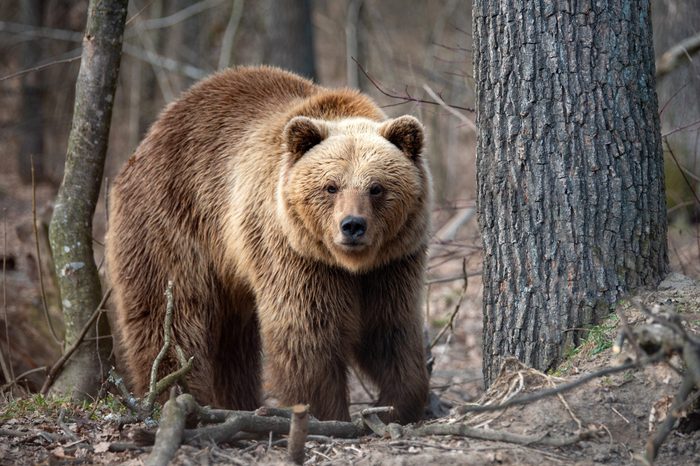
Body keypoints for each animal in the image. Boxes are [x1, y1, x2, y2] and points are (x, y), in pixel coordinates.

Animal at [106, 66, 431, 423]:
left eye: (376, 187)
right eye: (331, 186)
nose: (352, 226)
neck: (349, 265)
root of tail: (151, 135)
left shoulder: (392, 263)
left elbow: (390, 330)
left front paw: (400, 404)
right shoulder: (296, 256)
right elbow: (308, 337)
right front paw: (323, 411)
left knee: (234, 344)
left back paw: (236, 403)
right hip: (172, 225)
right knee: (170, 319)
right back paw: (177, 396)